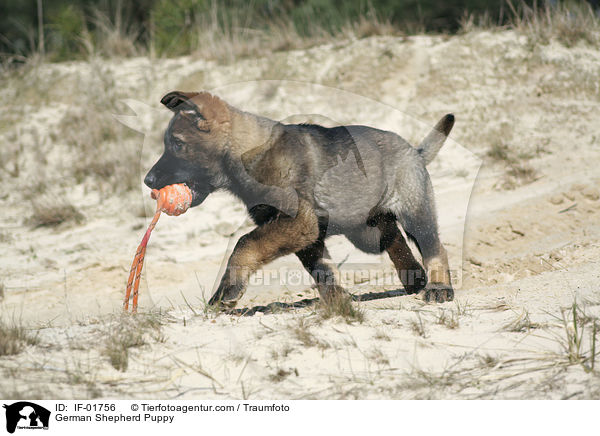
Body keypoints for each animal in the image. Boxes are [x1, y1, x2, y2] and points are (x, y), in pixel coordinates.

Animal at [144, 91, 454, 306]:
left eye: (177, 145)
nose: (147, 181)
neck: (246, 154)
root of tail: (414, 150)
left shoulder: (298, 221)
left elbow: (244, 244)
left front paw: (226, 292)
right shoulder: (306, 234)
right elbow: (323, 271)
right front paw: (338, 303)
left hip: (414, 212)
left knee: (434, 246)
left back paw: (439, 288)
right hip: (367, 228)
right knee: (394, 238)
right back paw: (414, 277)